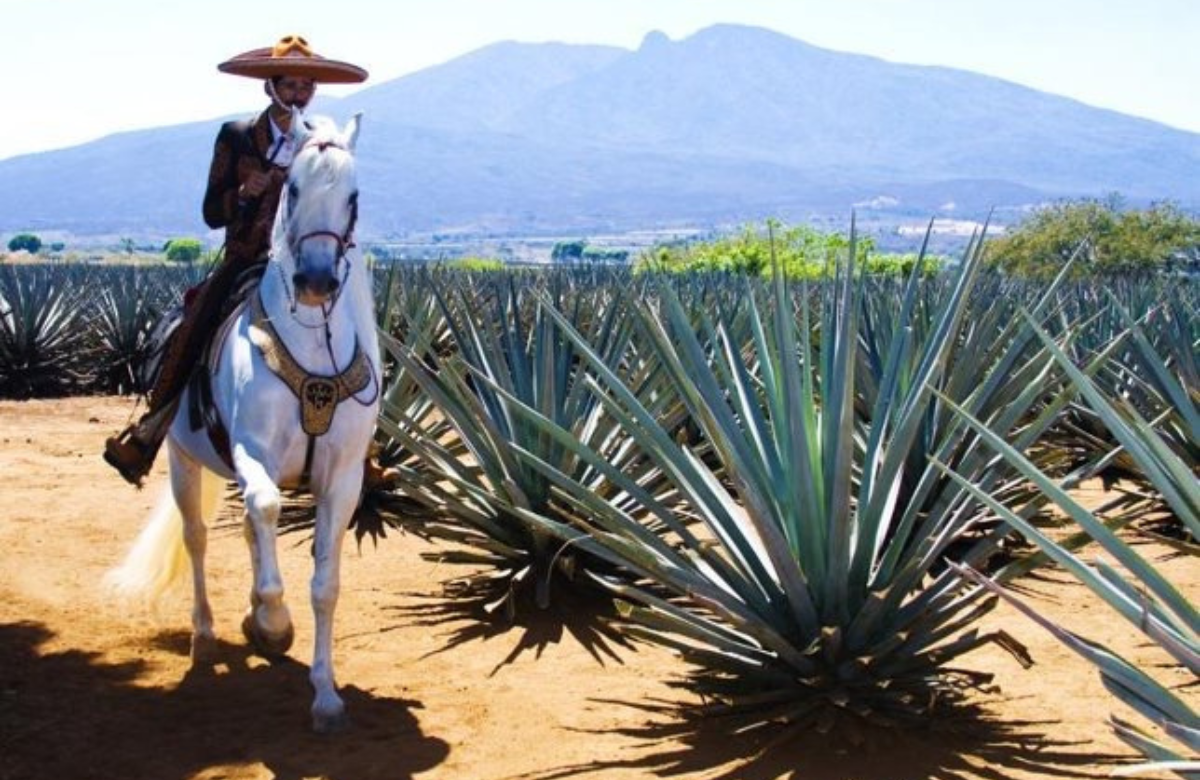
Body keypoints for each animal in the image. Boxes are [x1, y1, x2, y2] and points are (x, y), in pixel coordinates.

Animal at [109, 108, 379, 729]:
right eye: (293, 188)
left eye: (352, 195)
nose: (316, 282)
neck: (315, 346)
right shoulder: (252, 452)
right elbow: (266, 510)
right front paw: (272, 623)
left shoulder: (343, 477)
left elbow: (325, 584)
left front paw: (325, 695)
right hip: (183, 460)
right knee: (199, 536)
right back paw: (206, 636)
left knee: (254, 530)